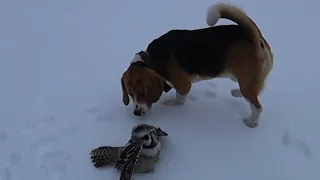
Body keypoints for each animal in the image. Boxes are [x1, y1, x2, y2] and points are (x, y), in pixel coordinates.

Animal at [120, 2, 272, 127]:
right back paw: (236, 92)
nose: (136, 113)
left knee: (257, 106)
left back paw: (251, 122)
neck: (152, 58)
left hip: (247, 82)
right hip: (244, 79)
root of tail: (254, 38)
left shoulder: (183, 85)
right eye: (130, 94)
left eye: (142, 93)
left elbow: (180, 97)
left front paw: (173, 103)